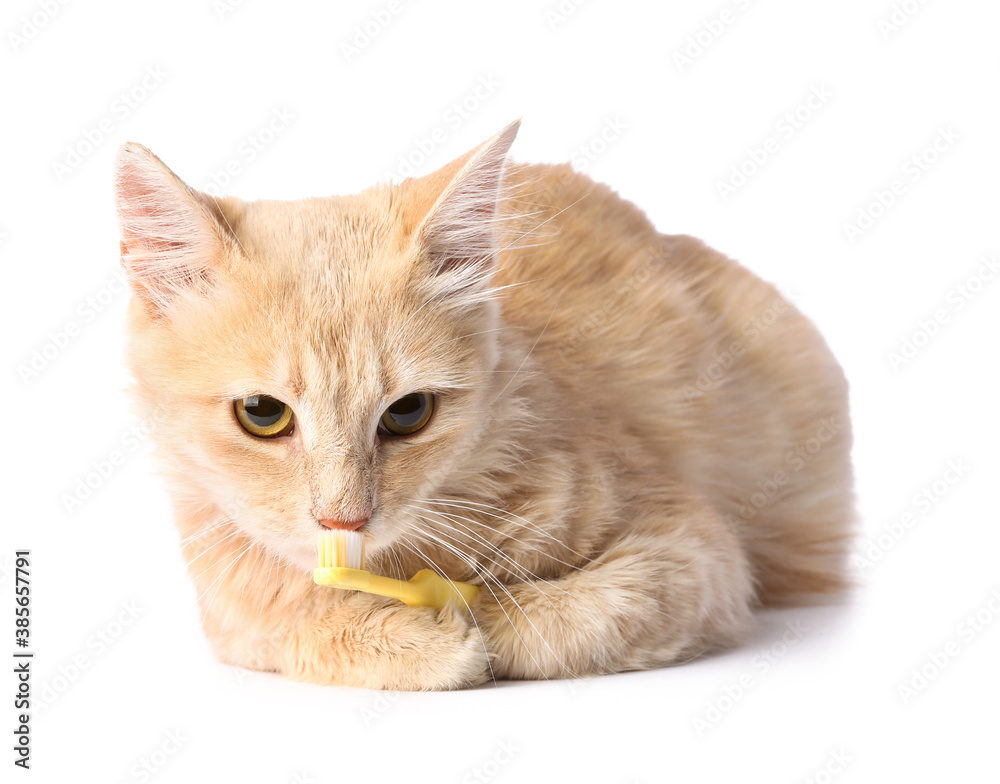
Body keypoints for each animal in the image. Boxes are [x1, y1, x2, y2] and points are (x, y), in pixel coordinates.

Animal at [115, 119, 852, 688]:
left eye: (408, 413)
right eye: (263, 415)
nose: (344, 520)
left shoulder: (693, 556)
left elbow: (566, 616)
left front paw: (472, 620)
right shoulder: (234, 611)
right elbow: (303, 623)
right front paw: (413, 639)